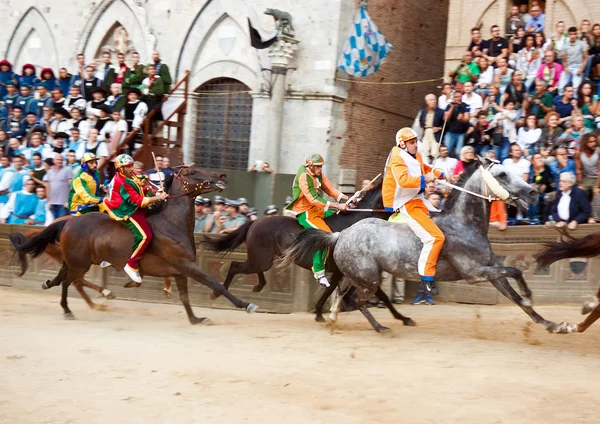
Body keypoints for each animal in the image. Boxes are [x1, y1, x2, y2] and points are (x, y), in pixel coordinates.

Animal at [9, 166, 258, 322]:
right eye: (193, 172)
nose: (223, 175)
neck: (172, 223)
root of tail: (67, 222)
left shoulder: (180, 270)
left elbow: (184, 297)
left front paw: (196, 319)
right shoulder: (186, 265)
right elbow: (215, 284)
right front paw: (246, 305)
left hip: (75, 260)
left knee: (64, 279)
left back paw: (57, 288)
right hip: (79, 263)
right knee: (70, 282)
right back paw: (72, 308)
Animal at [204, 184, 414, 326]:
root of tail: (255, 222)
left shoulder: (340, 272)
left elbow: (329, 291)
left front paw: (319, 313)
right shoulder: (360, 272)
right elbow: (382, 295)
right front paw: (403, 318)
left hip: (263, 259)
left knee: (254, 270)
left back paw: (257, 286)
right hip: (259, 259)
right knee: (234, 266)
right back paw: (217, 292)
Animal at [282, 159, 564, 334]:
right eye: (502, 174)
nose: (533, 192)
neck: (465, 223)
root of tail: (341, 234)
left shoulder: (492, 271)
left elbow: (515, 295)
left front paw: (553, 324)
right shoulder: (475, 273)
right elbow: (516, 272)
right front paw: (530, 296)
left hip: (356, 275)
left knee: (341, 293)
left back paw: (331, 317)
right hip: (368, 278)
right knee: (359, 300)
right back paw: (380, 327)